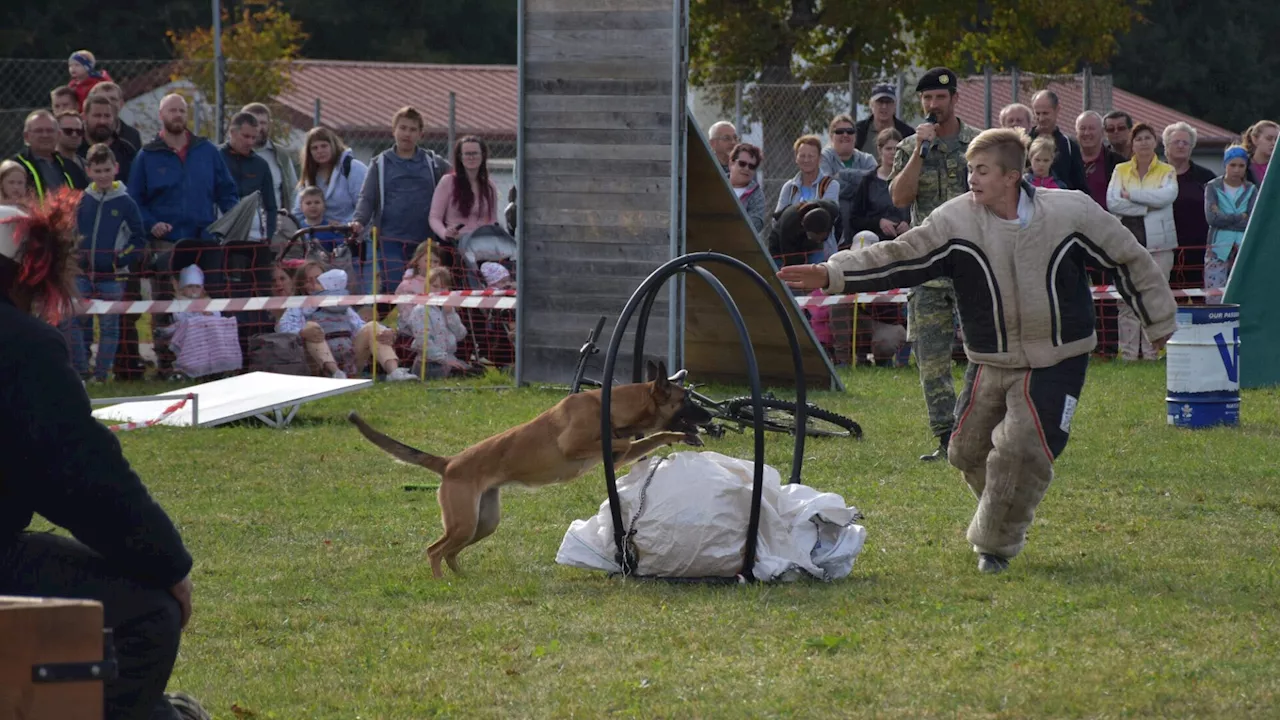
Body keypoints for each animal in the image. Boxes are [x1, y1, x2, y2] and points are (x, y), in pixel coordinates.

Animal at [350, 358, 711, 576]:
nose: (708, 417)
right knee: (434, 550)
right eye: (686, 400)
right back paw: (441, 582)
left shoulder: (623, 451)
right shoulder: (576, 445)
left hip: (482, 523)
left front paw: (682, 436)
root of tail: (450, 463)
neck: (611, 409)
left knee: (450, 552)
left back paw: (461, 578)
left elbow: (655, 436)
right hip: (464, 523)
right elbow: (618, 443)